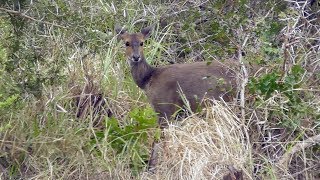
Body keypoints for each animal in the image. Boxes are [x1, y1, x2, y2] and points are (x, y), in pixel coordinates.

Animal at [116, 25, 239, 170]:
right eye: (127, 43)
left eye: (142, 42)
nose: (136, 57)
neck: (148, 79)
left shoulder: (165, 108)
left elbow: (158, 139)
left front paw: (153, 166)